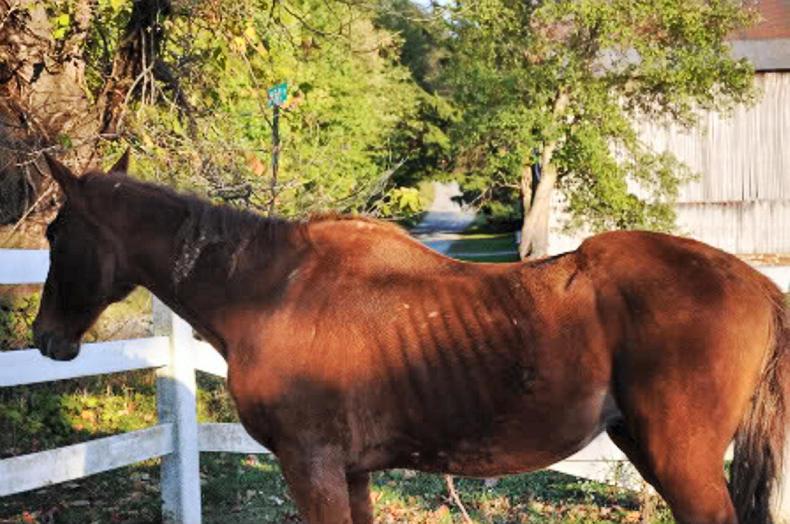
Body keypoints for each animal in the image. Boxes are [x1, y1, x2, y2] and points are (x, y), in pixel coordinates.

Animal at [32, 152, 788, 524]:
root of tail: (754, 282)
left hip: (679, 459)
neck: (273, 292)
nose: (45, 338)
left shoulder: (310, 467)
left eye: (56, 232)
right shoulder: (351, 472)